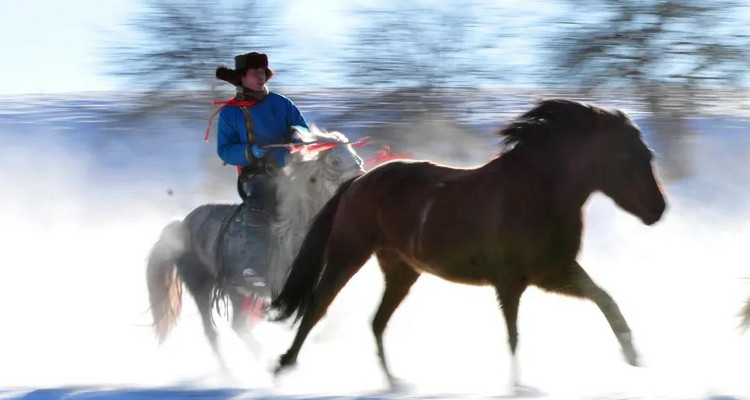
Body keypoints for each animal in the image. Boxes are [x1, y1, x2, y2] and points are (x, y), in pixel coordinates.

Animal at [270, 98, 668, 390]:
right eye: (625, 156)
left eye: (647, 155)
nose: (659, 209)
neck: (539, 194)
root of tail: (358, 181)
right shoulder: (510, 282)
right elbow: (513, 336)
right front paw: (519, 387)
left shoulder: (554, 273)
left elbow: (605, 299)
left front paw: (633, 356)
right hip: (348, 254)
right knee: (318, 305)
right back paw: (284, 364)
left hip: (401, 270)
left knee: (377, 322)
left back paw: (395, 383)